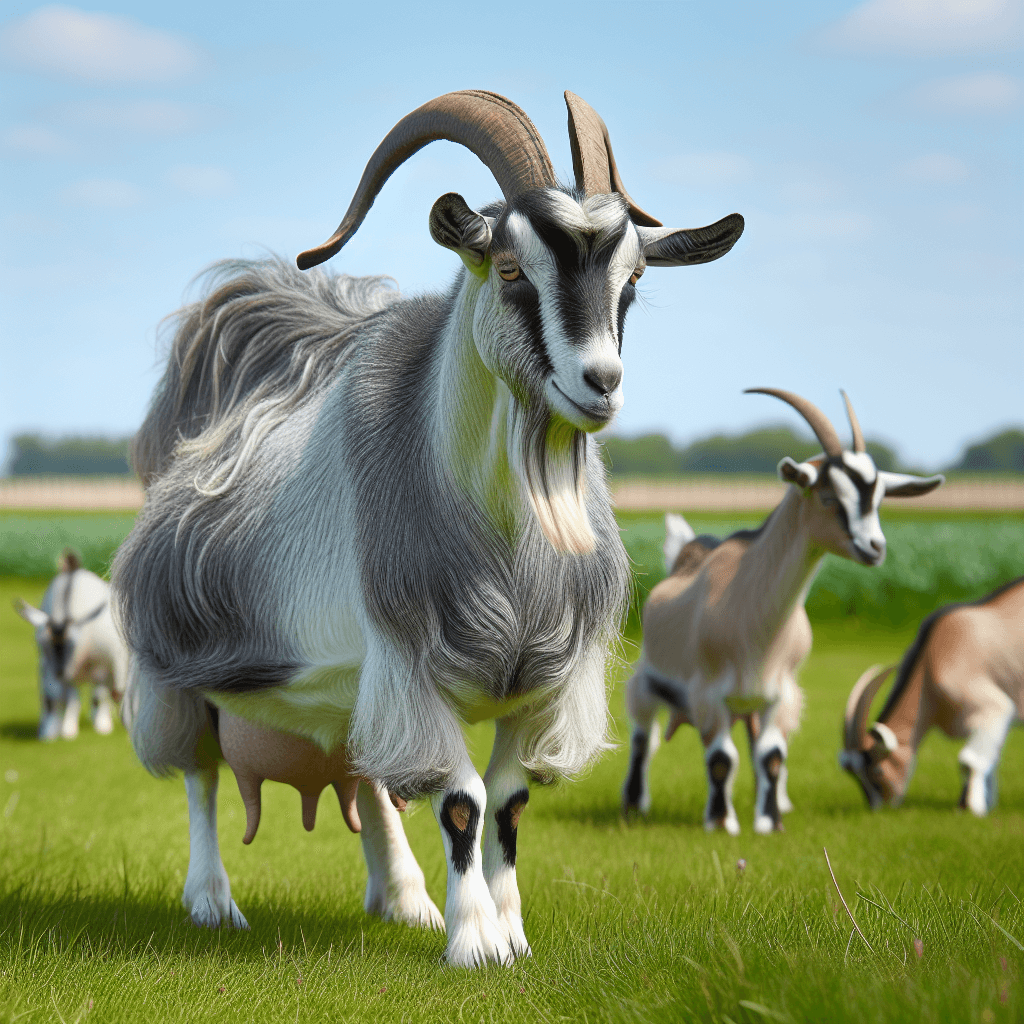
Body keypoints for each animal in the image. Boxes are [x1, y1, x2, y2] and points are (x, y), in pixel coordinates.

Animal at [15, 549, 128, 740]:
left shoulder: (104, 665)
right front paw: (58, 732)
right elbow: (59, 699)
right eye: (44, 643)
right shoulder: (49, 667)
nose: (59, 672)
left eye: (73, 643)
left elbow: (99, 696)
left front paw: (100, 726)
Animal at [111, 90, 745, 967]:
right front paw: (474, 941)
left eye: (635, 280)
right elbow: (463, 801)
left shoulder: (540, 686)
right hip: (181, 659)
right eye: (510, 269)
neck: (509, 543)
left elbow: (508, 801)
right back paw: (213, 901)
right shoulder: (413, 661)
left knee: (369, 773)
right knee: (200, 775)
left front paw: (510, 934)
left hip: (357, 687)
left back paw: (404, 897)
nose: (601, 382)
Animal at [622, 389, 944, 834]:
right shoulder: (708, 692)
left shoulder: (781, 694)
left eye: (879, 499)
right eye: (829, 497)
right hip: (648, 680)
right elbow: (721, 760)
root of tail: (684, 555)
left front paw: (769, 823)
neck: (751, 609)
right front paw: (721, 823)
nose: (875, 548)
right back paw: (635, 804)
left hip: (751, 703)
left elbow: (771, 756)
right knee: (643, 735)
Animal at [840, 576, 1023, 816]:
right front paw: (985, 803)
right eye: (856, 776)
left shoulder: (993, 709)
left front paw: (972, 808)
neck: (933, 659)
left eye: (877, 771)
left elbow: (969, 761)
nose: (878, 809)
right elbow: (991, 760)